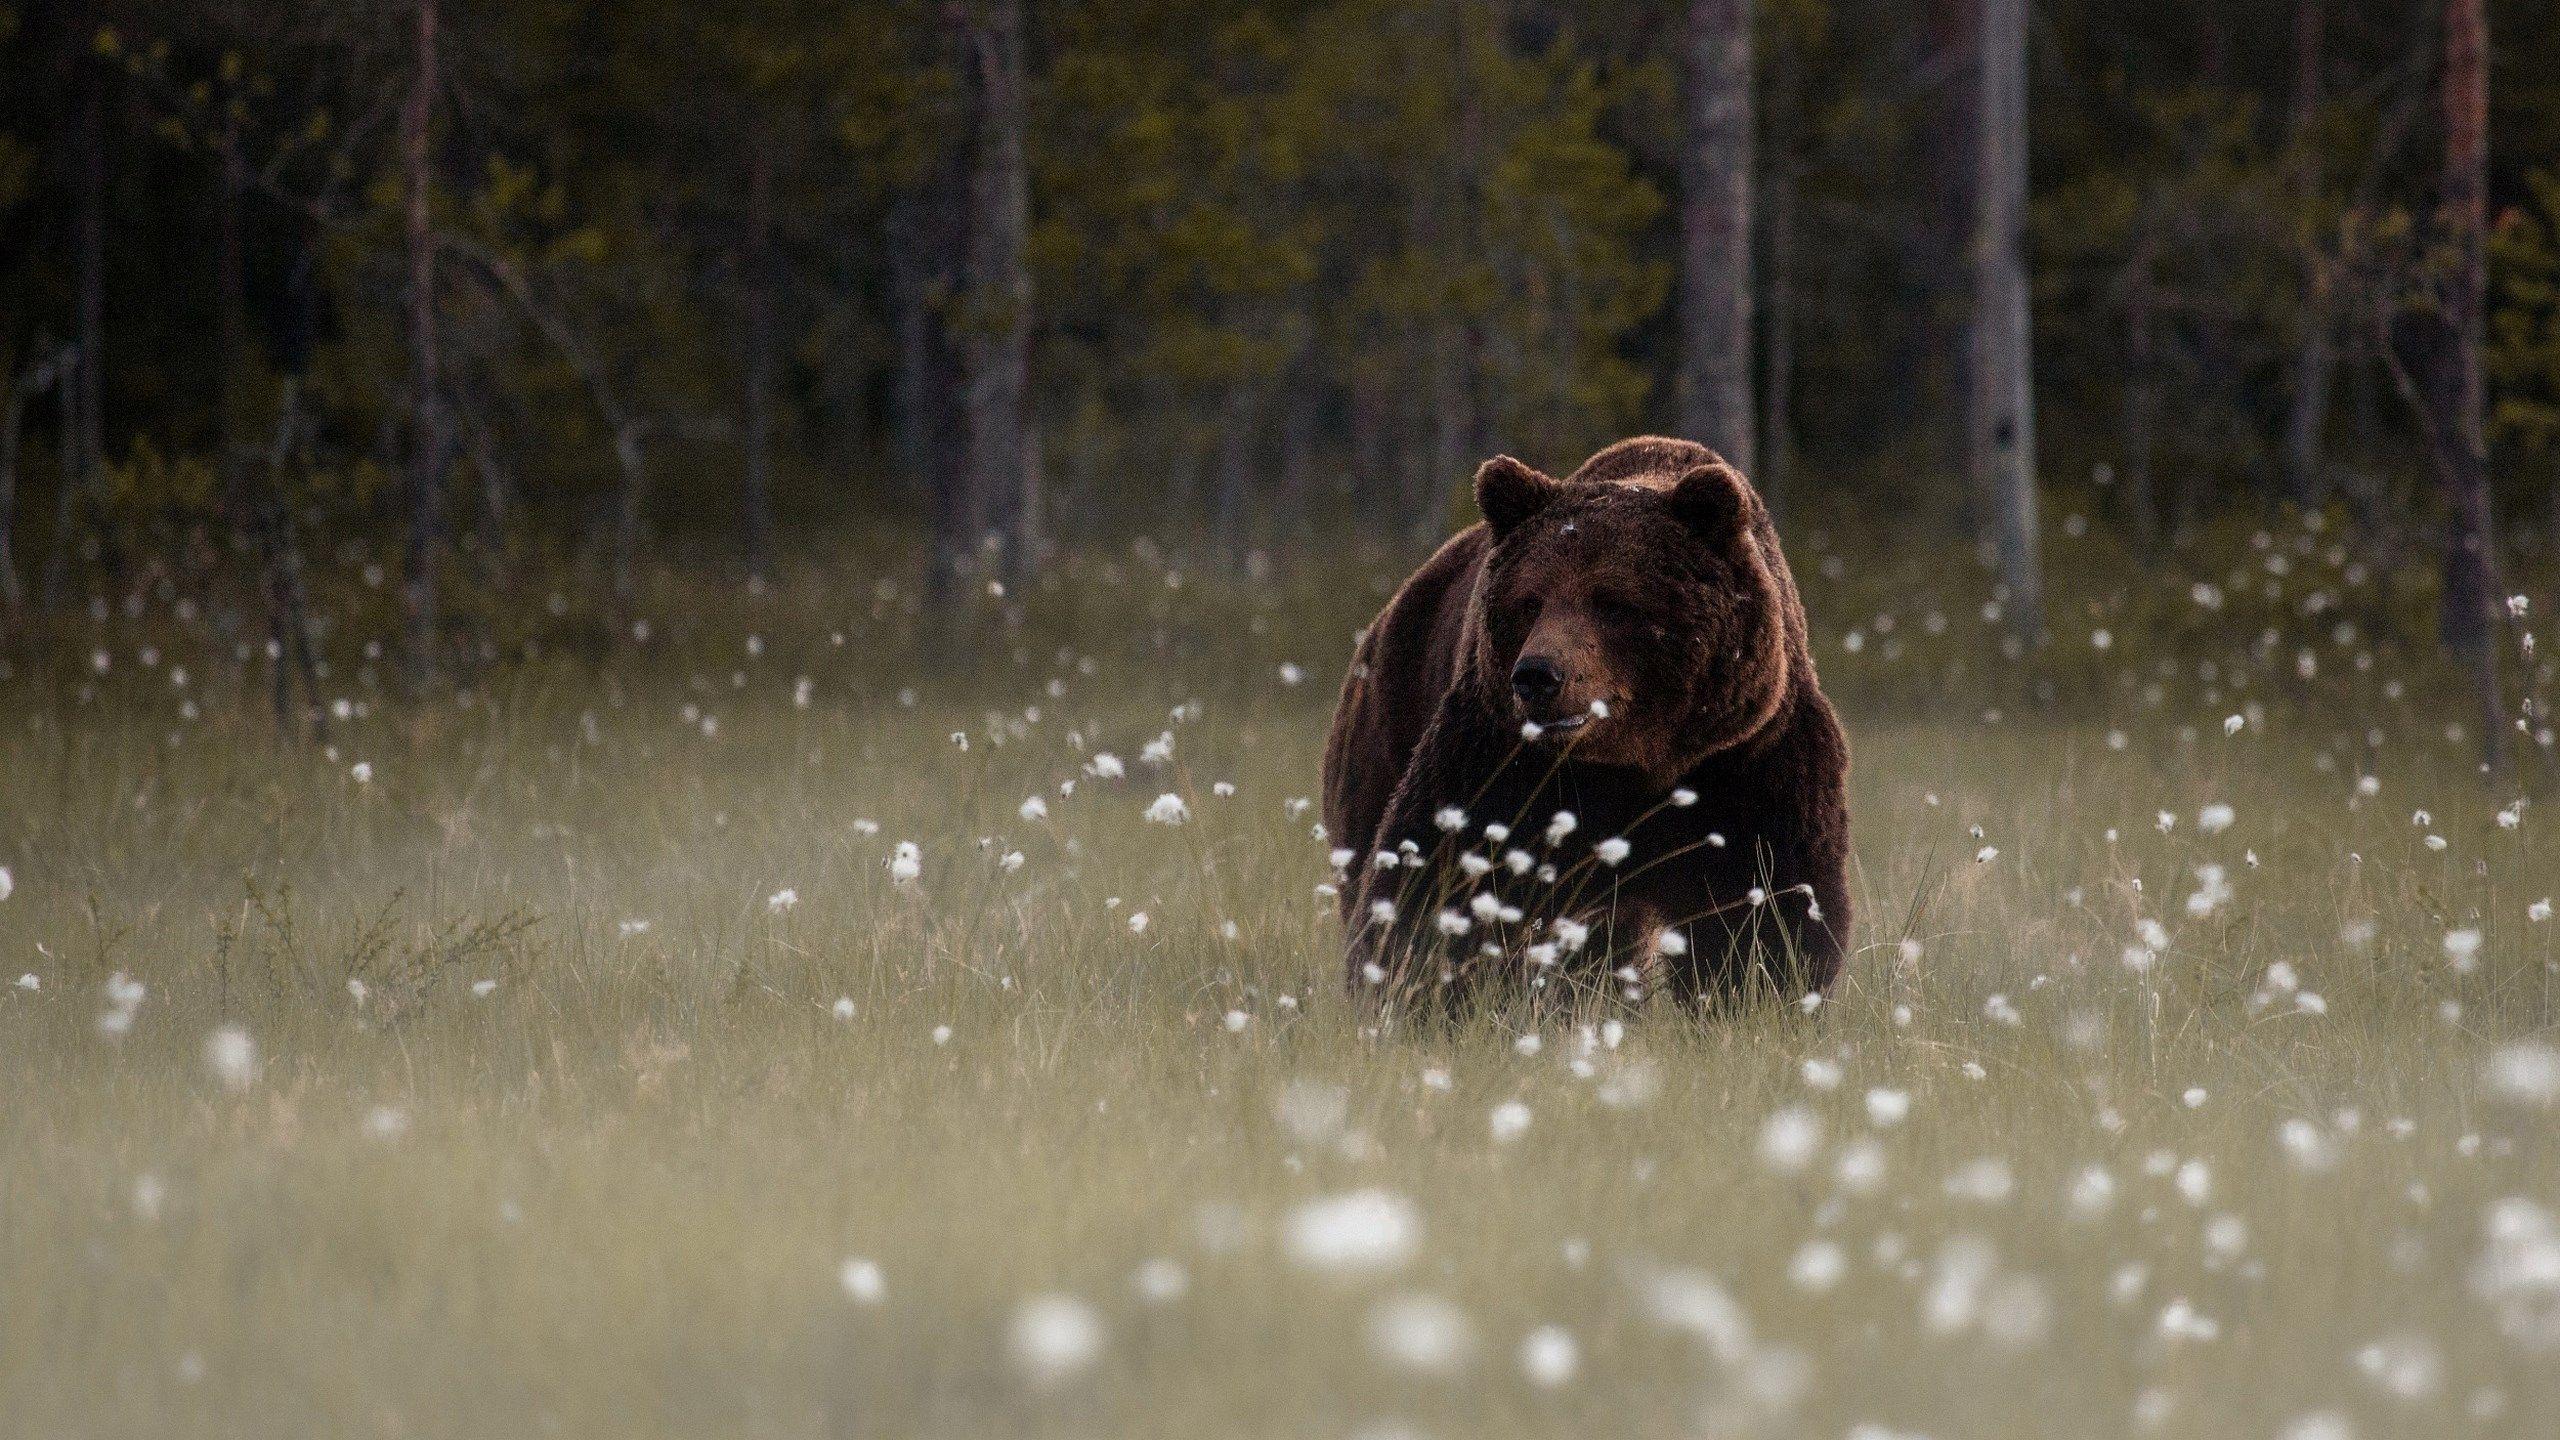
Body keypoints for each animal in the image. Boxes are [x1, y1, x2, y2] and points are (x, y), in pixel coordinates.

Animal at [1321, 435, 1850, 1012]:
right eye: (1530, 600)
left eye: (1613, 602)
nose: (1537, 675)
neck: (1635, 764)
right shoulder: (1501, 761)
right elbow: (1444, 875)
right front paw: (1421, 991)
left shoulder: (1748, 760)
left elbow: (1767, 906)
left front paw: (1758, 994)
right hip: (1386, 725)